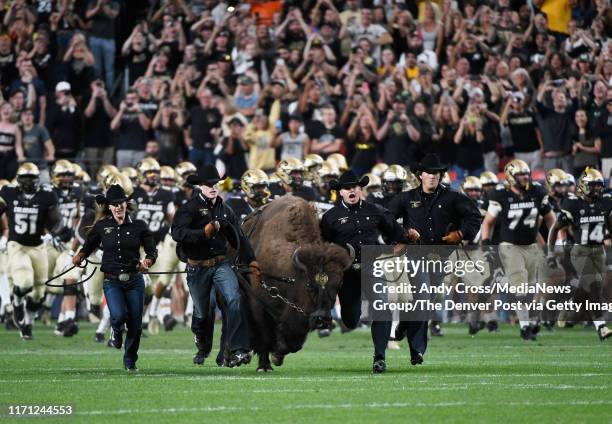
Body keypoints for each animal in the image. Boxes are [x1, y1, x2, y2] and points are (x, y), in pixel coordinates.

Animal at [241, 195, 352, 372]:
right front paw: (265, 365)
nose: (322, 320)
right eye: (309, 285)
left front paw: (278, 354)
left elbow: (295, 341)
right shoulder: (258, 303)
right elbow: (264, 333)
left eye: (338, 285)